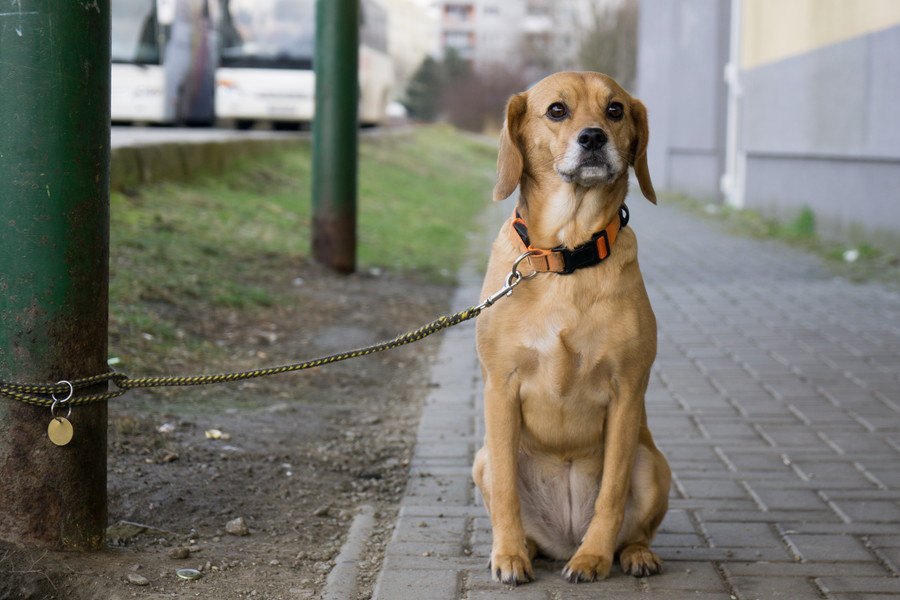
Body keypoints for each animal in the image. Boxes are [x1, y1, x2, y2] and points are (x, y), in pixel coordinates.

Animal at [474, 71, 672, 584]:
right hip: (481, 459)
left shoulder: (627, 393)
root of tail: (562, 538)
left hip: (653, 463)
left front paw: (594, 558)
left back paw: (633, 554)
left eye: (615, 109)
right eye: (557, 110)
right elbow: (506, 490)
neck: (567, 256)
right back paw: (525, 546)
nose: (594, 138)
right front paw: (508, 556)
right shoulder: (500, 389)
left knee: (636, 528)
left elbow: (612, 492)